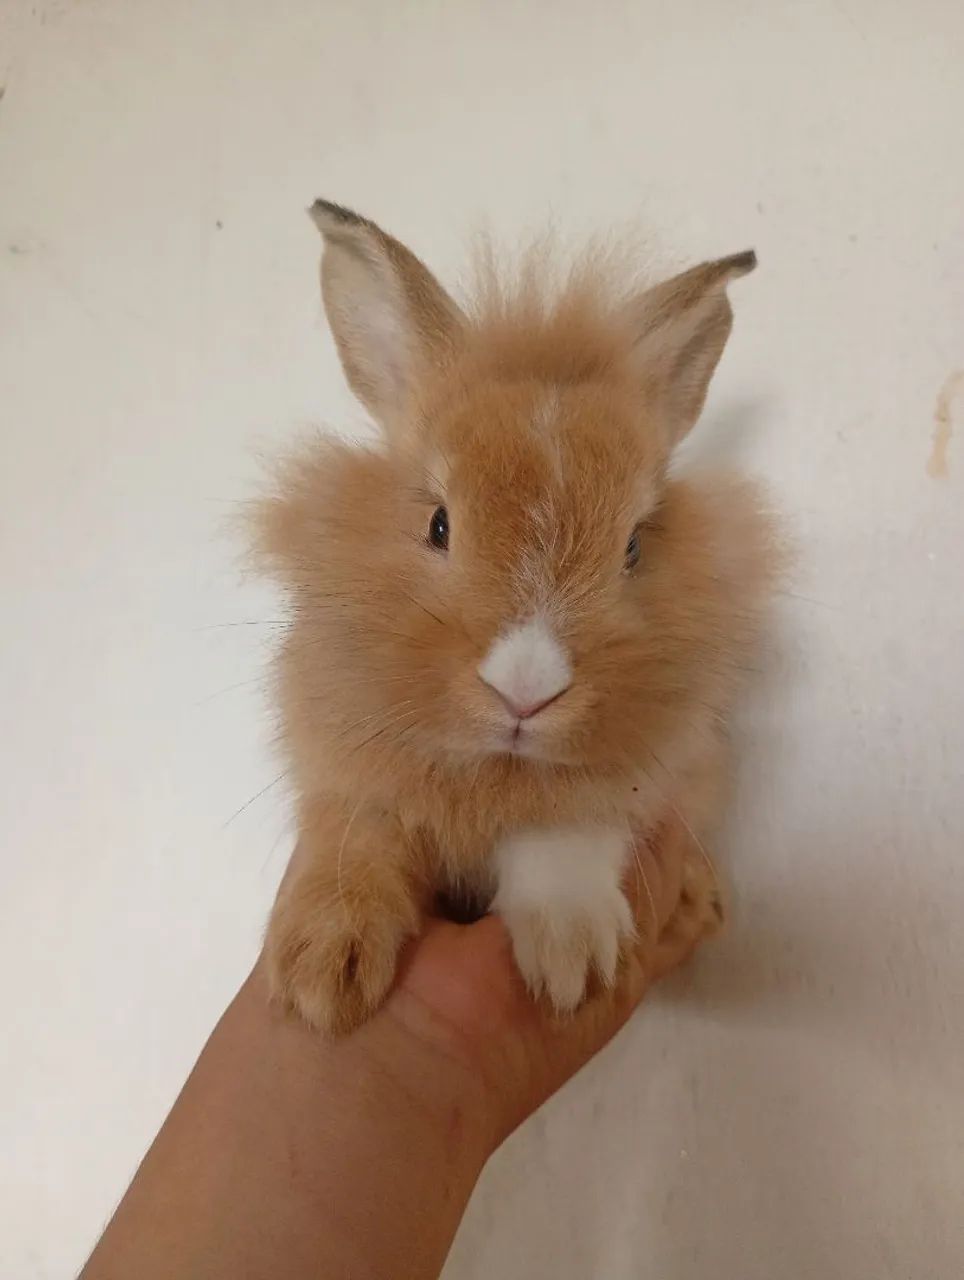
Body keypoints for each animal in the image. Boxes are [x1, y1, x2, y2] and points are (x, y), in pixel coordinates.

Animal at [255, 199, 779, 1035]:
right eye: (437, 524)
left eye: (635, 546)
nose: (526, 691)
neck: (493, 770)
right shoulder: (351, 775)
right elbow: (351, 844)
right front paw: (322, 978)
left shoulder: (632, 784)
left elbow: (563, 844)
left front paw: (574, 964)